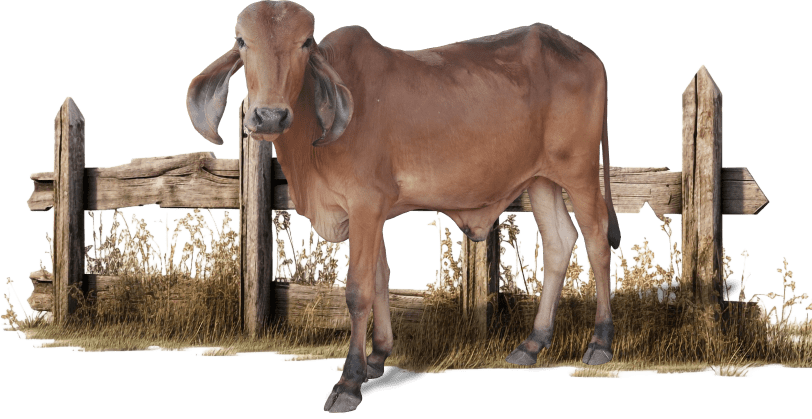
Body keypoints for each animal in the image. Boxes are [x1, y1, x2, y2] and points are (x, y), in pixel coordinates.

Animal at [186, 0, 620, 413]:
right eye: (242, 41)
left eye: (305, 43)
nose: (269, 116)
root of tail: (586, 54)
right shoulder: (372, 212)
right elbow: (381, 279)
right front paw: (377, 357)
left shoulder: (365, 204)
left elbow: (358, 291)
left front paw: (349, 382)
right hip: (541, 179)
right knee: (560, 243)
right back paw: (533, 343)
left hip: (579, 170)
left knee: (597, 242)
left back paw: (600, 342)